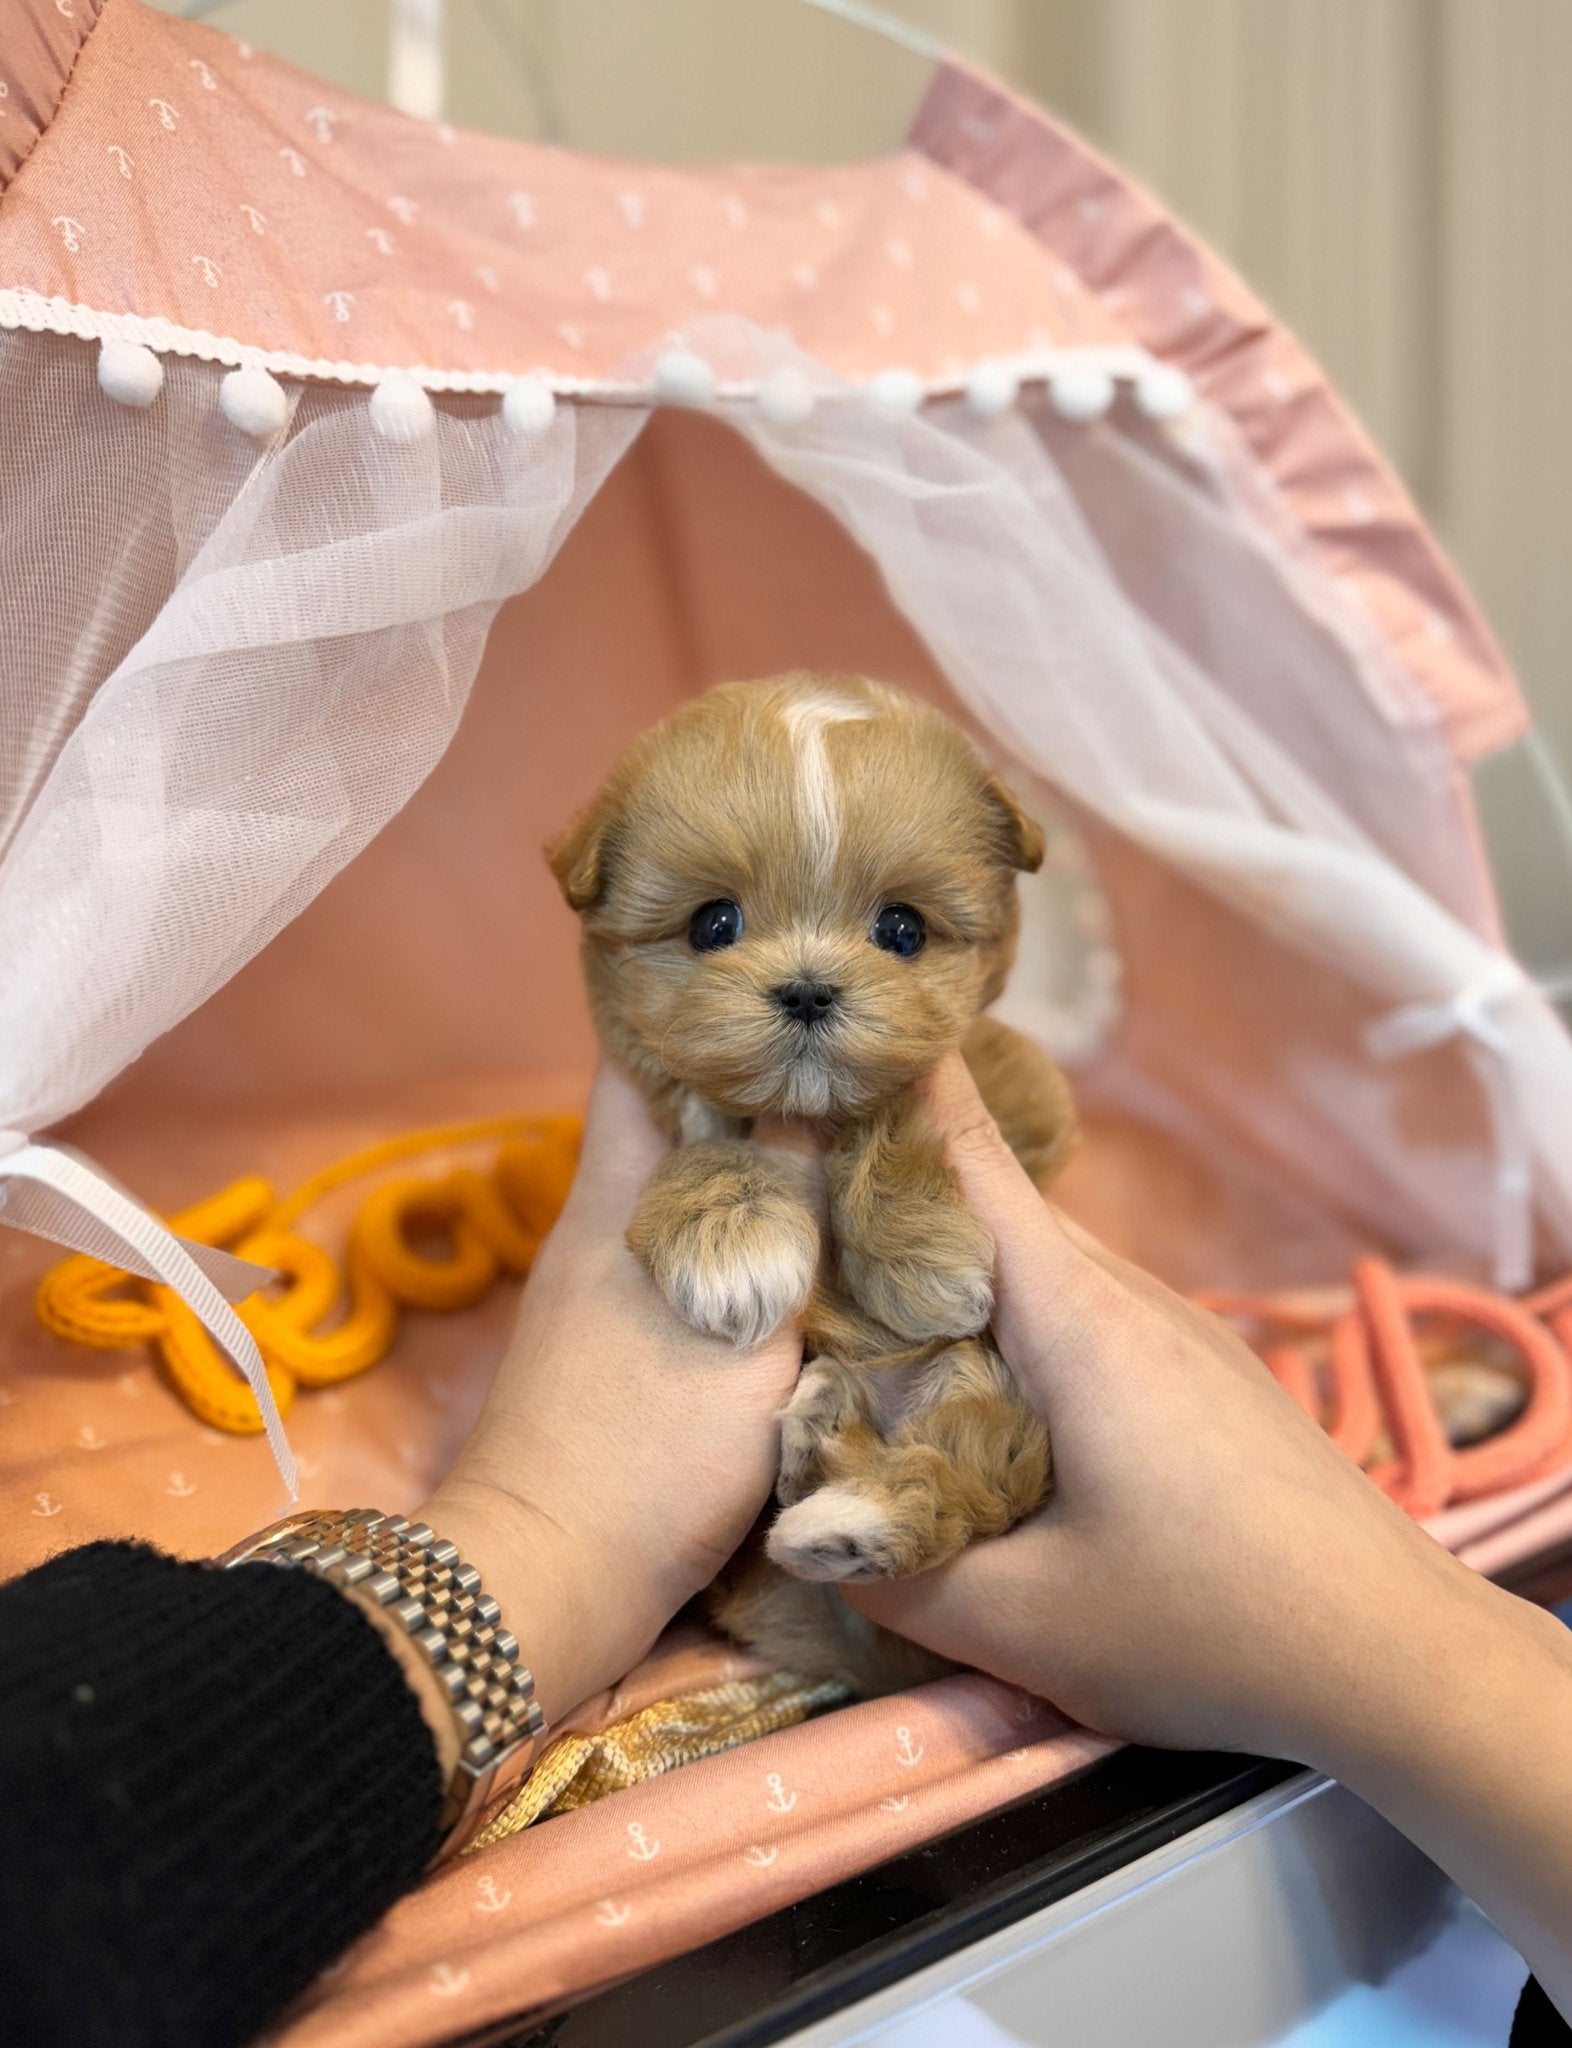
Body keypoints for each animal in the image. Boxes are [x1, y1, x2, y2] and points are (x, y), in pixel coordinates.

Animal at [548, 675, 1072, 1695]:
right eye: (713, 924)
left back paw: (850, 1513)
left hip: (981, 1392)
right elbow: (705, 1148)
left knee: (979, 1474)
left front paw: (926, 1259)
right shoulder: (662, 1099)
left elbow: (898, 1108)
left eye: (901, 930)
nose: (807, 989)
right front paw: (737, 1250)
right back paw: (822, 1453)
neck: (804, 1112)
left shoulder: (1006, 1100)